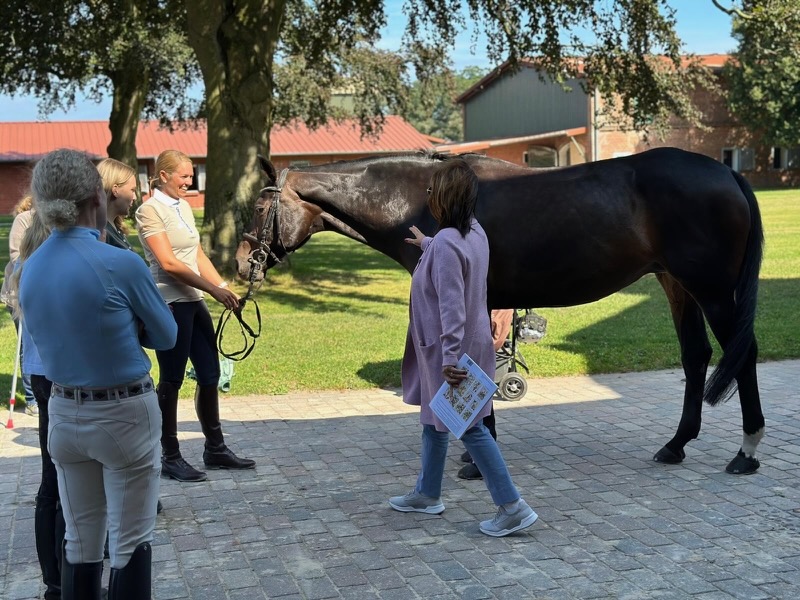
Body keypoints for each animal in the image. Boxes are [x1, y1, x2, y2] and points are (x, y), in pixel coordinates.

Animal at [234, 148, 764, 476]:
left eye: (258, 211)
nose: (241, 264)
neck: (425, 201)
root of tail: (727, 173)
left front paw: (474, 457)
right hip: (677, 285)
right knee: (696, 356)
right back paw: (676, 445)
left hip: (713, 291)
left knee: (744, 355)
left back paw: (747, 450)